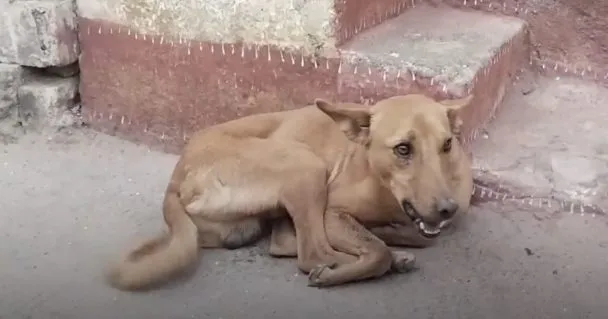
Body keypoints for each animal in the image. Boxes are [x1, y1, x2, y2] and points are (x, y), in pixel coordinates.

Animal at [105, 94, 476, 292]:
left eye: (447, 144)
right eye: (402, 149)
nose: (447, 209)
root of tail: (178, 174)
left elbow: (413, 237)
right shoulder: (333, 212)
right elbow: (378, 249)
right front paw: (380, 251)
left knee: (287, 241)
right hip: (306, 166)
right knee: (310, 253)